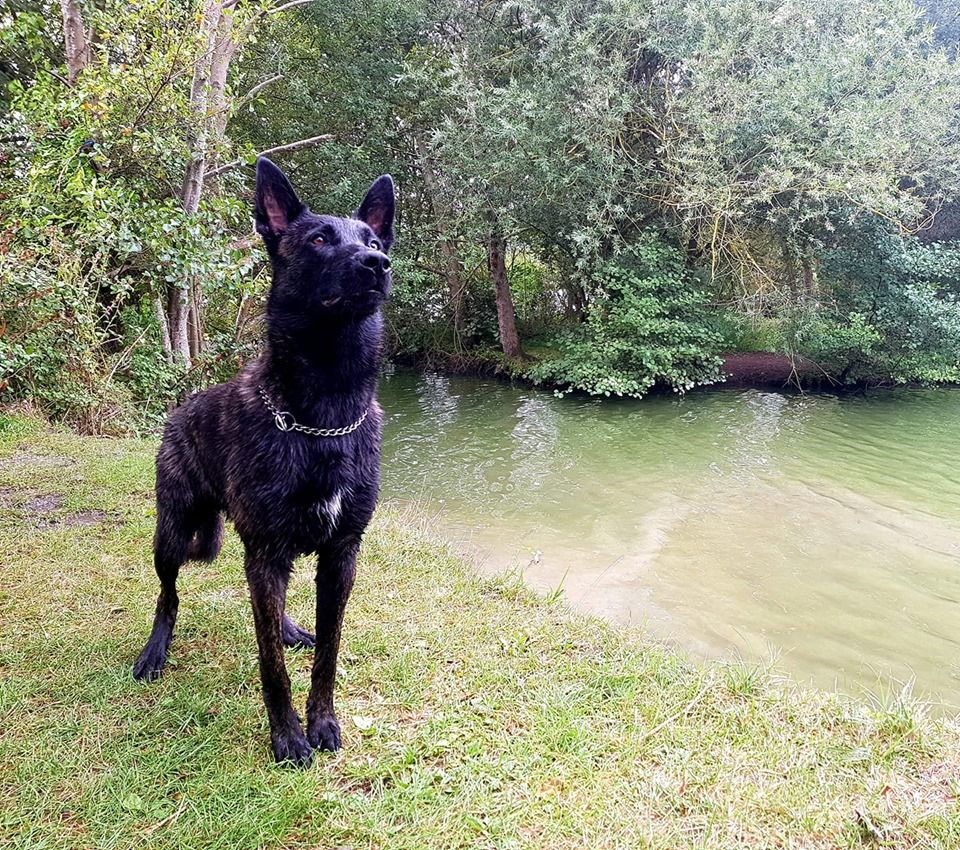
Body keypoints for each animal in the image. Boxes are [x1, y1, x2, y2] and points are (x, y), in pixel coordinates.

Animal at [132, 157, 394, 760]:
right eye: (319, 239)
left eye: (372, 240)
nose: (376, 264)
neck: (324, 417)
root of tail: (182, 408)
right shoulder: (268, 551)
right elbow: (270, 665)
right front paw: (287, 735)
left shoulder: (340, 554)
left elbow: (328, 653)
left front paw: (321, 720)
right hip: (173, 533)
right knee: (167, 594)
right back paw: (155, 650)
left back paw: (292, 626)